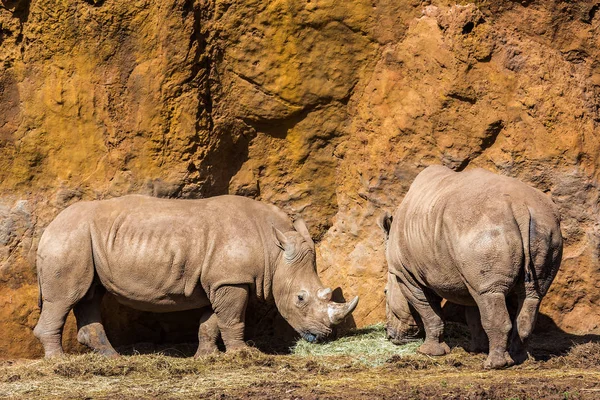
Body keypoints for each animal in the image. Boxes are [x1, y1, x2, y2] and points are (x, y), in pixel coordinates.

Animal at [34, 195, 356, 358]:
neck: (273, 250)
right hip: (69, 238)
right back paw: (59, 362)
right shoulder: (232, 280)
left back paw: (111, 358)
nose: (324, 336)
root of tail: (49, 227)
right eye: (300, 298)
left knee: (89, 295)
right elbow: (232, 318)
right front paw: (242, 355)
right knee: (65, 298)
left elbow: (211, 321)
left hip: (81, 239)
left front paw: (206, 357)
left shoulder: (220, 280)